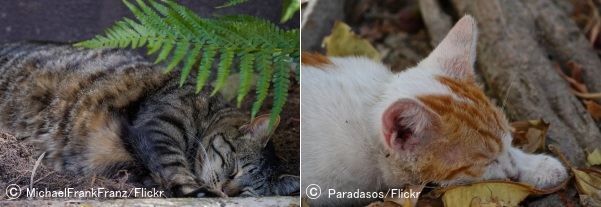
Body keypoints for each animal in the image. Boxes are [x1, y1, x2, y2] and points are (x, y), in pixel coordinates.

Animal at [0, 41, 298, 198]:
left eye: (247, 194)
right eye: (235, 169)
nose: (227, 191)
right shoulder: (159, 126)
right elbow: (174, 165)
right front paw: (197, 190)